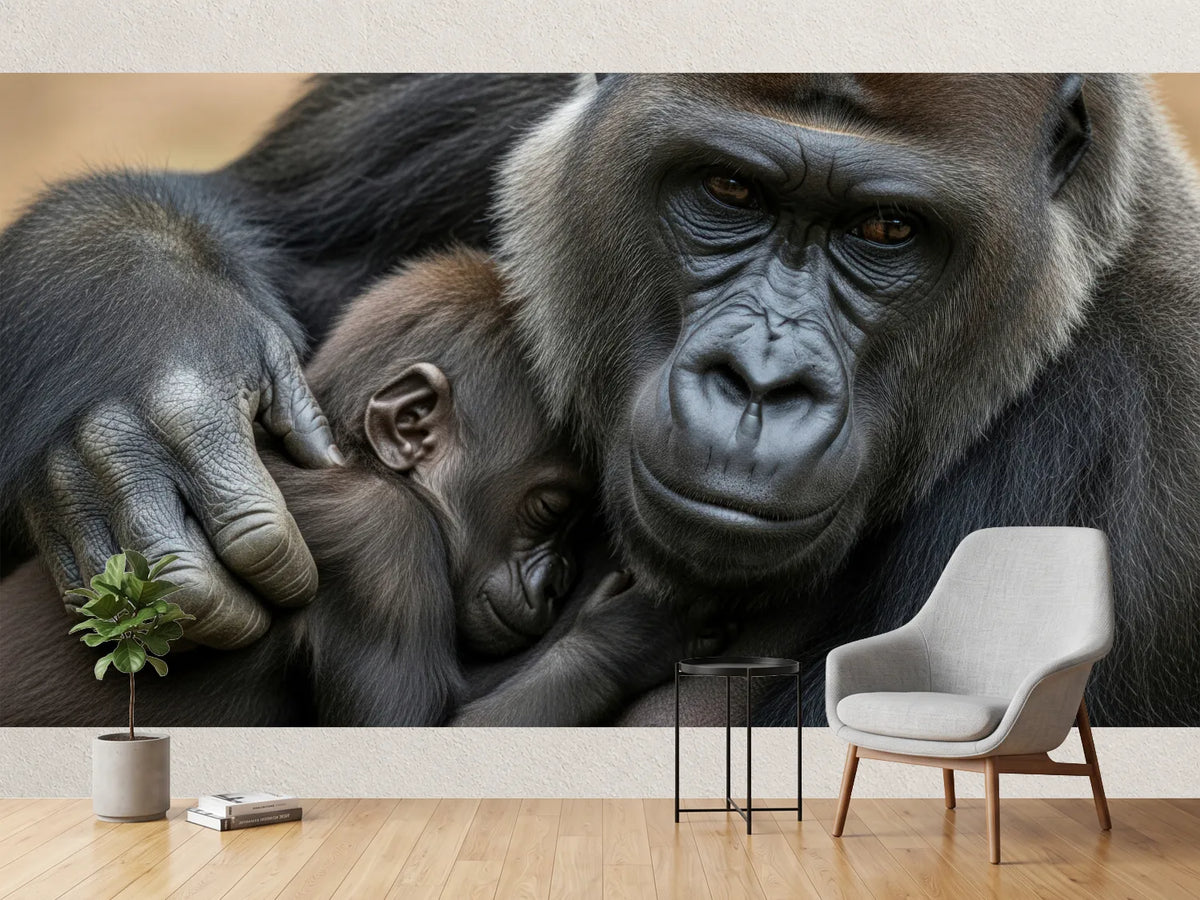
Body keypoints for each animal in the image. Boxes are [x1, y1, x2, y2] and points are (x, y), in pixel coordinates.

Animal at [2, 75, 1198, 726]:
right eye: (727, 189)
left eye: (887, 230)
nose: (760, 385)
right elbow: (254, 222)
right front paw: (154, 374)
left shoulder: (1137, 460)